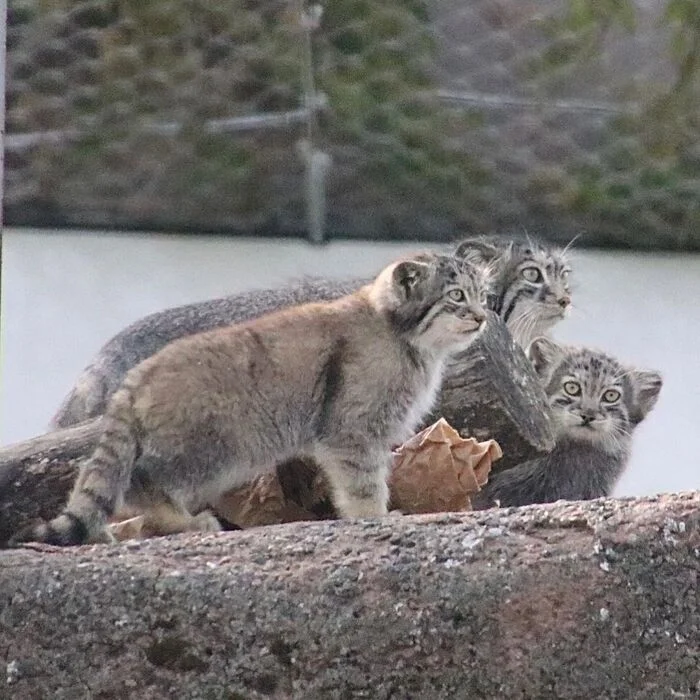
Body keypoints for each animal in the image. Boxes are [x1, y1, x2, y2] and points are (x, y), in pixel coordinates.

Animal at [12, 252, 492, 548]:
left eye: (483, 296)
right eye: (456, 297)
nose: (483, 317)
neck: (404, 338)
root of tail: (136, 376)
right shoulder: (352, 432)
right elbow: (364, 483)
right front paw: (375, 516)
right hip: (212, 448)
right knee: (140, 485)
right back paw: (185, 521)